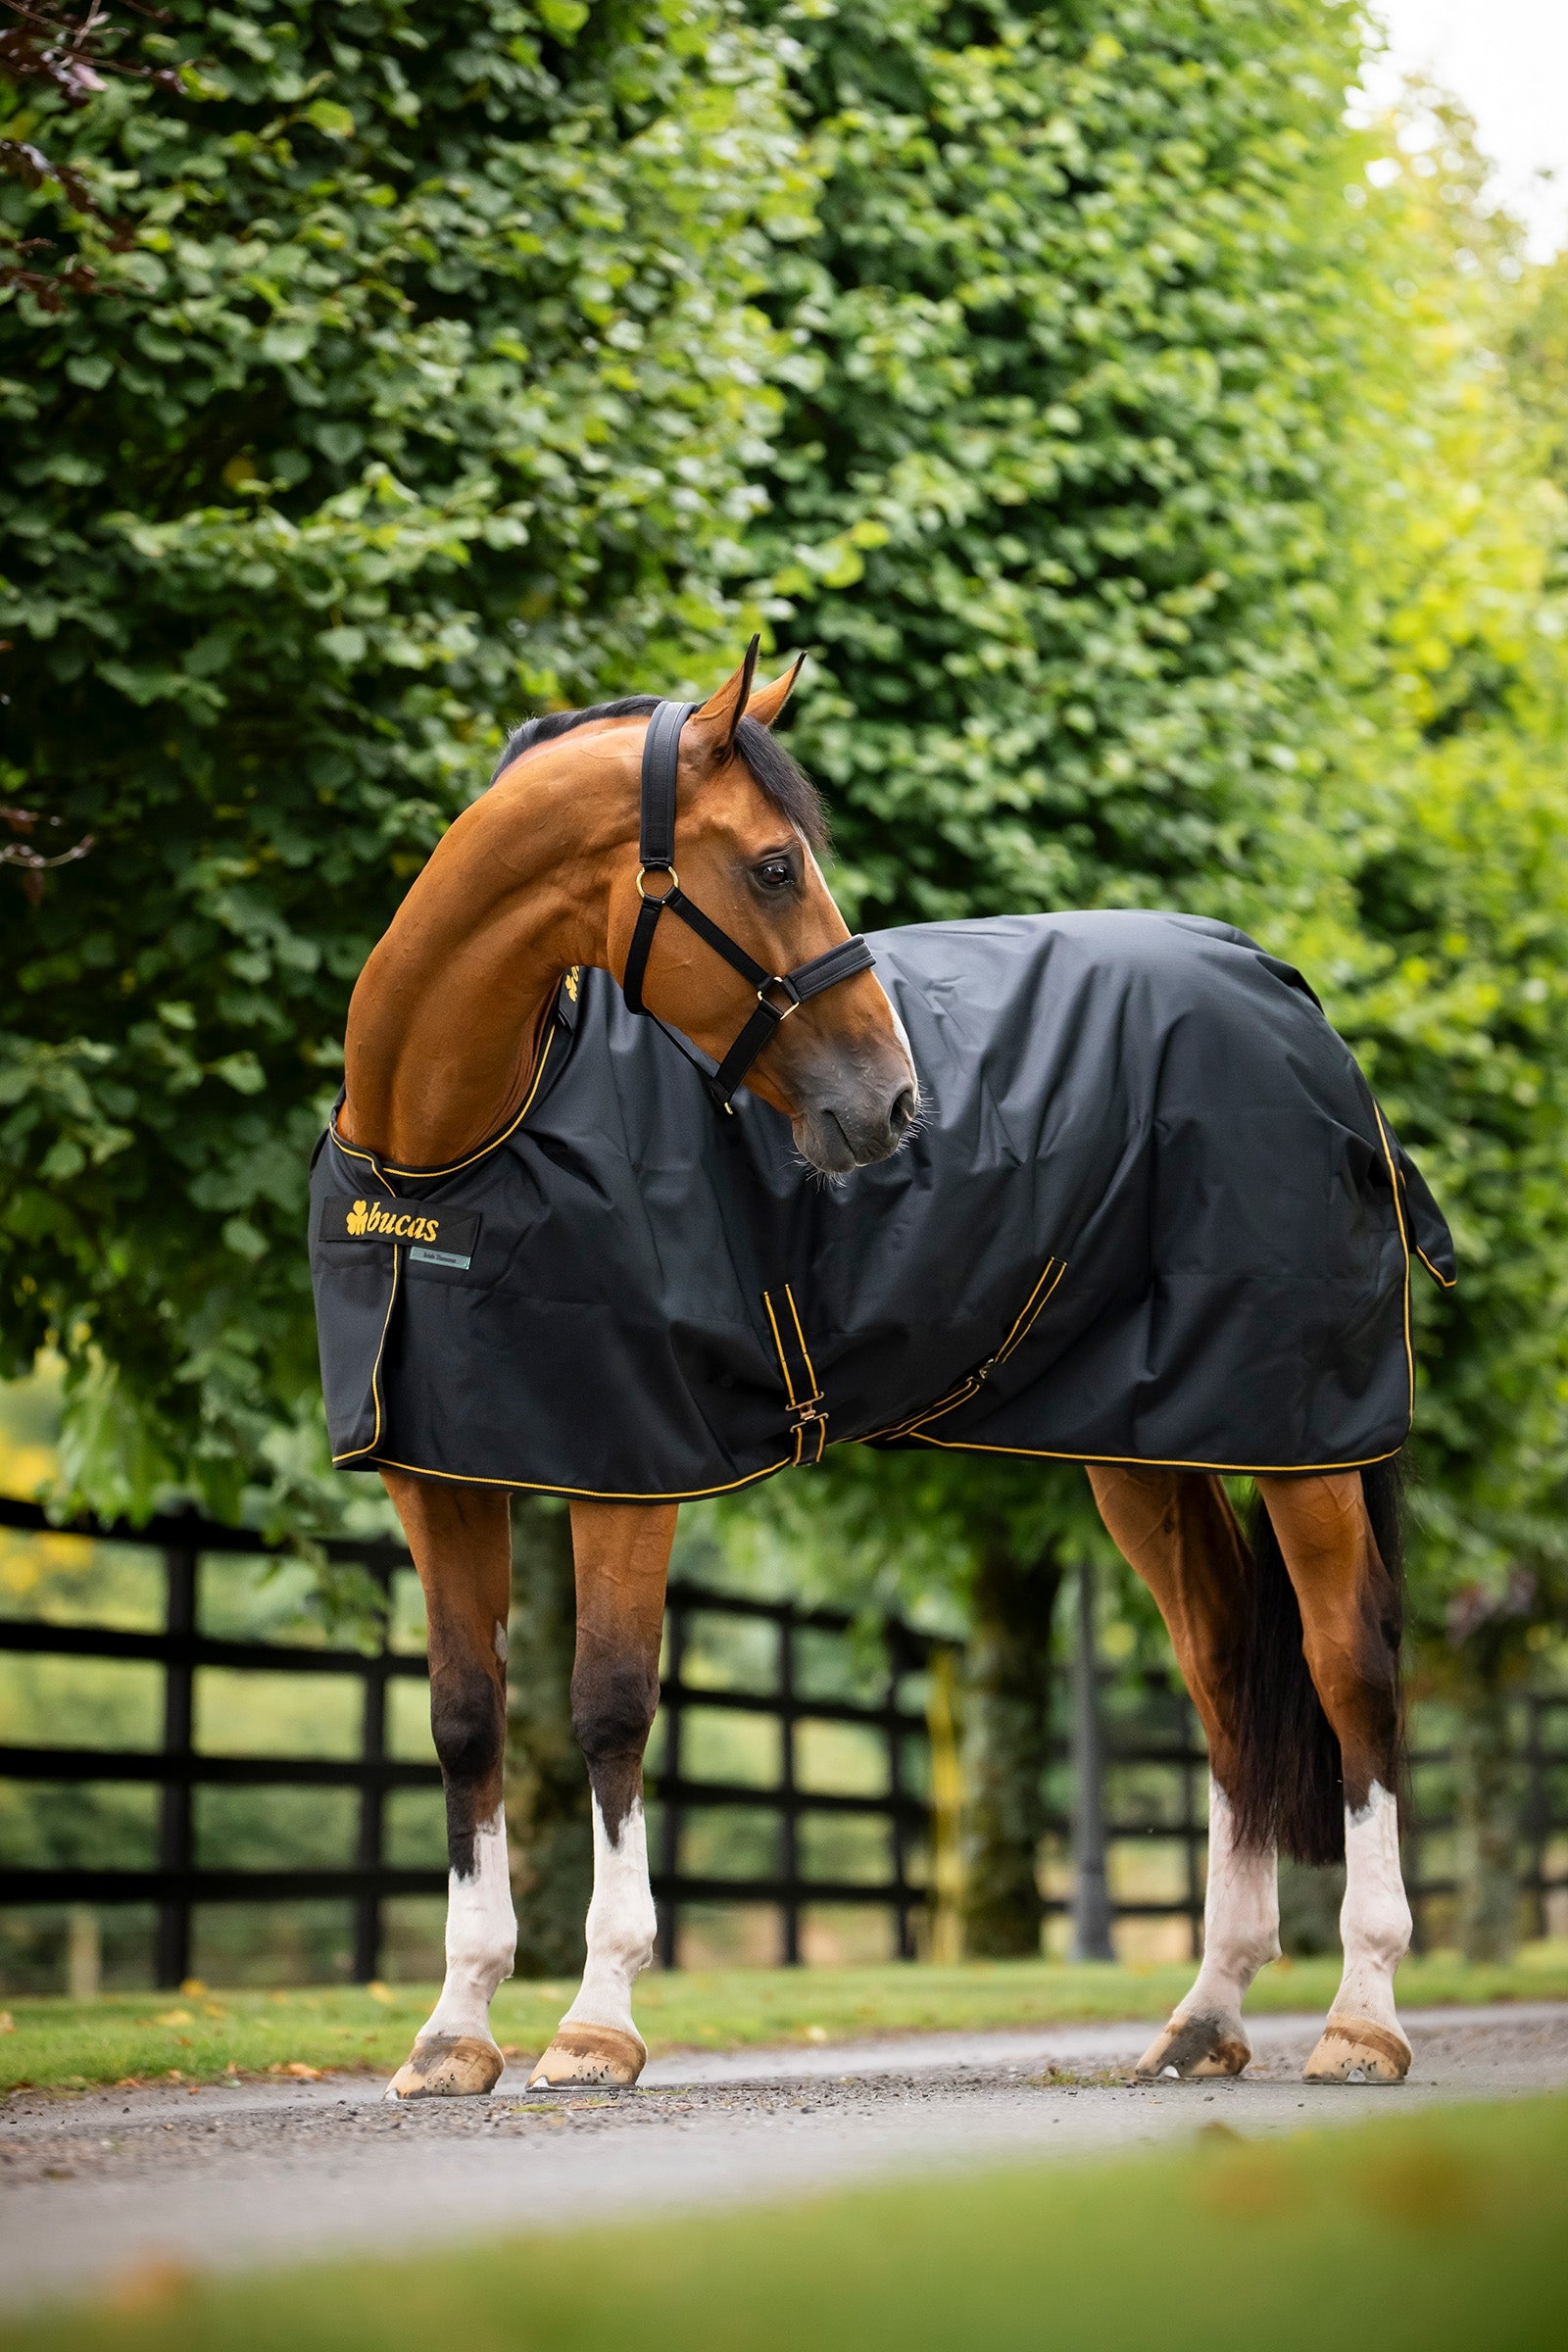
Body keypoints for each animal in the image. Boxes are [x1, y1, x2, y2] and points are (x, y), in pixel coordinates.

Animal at [322, 646, 1434, 2101]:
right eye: (775, 865)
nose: (898, 1105)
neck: (461, 1143)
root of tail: (1285, 990)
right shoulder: (442, 1476)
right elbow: (465, 1723)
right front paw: (452, 2031)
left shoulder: (632, 1473)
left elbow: (612, 1711)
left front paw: (598, 2022)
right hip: (1150, 1450)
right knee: (1225, 1681)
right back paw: (1206, 2013)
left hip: (1300, 1437)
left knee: (1349, 1671)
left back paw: (1364, 2016)